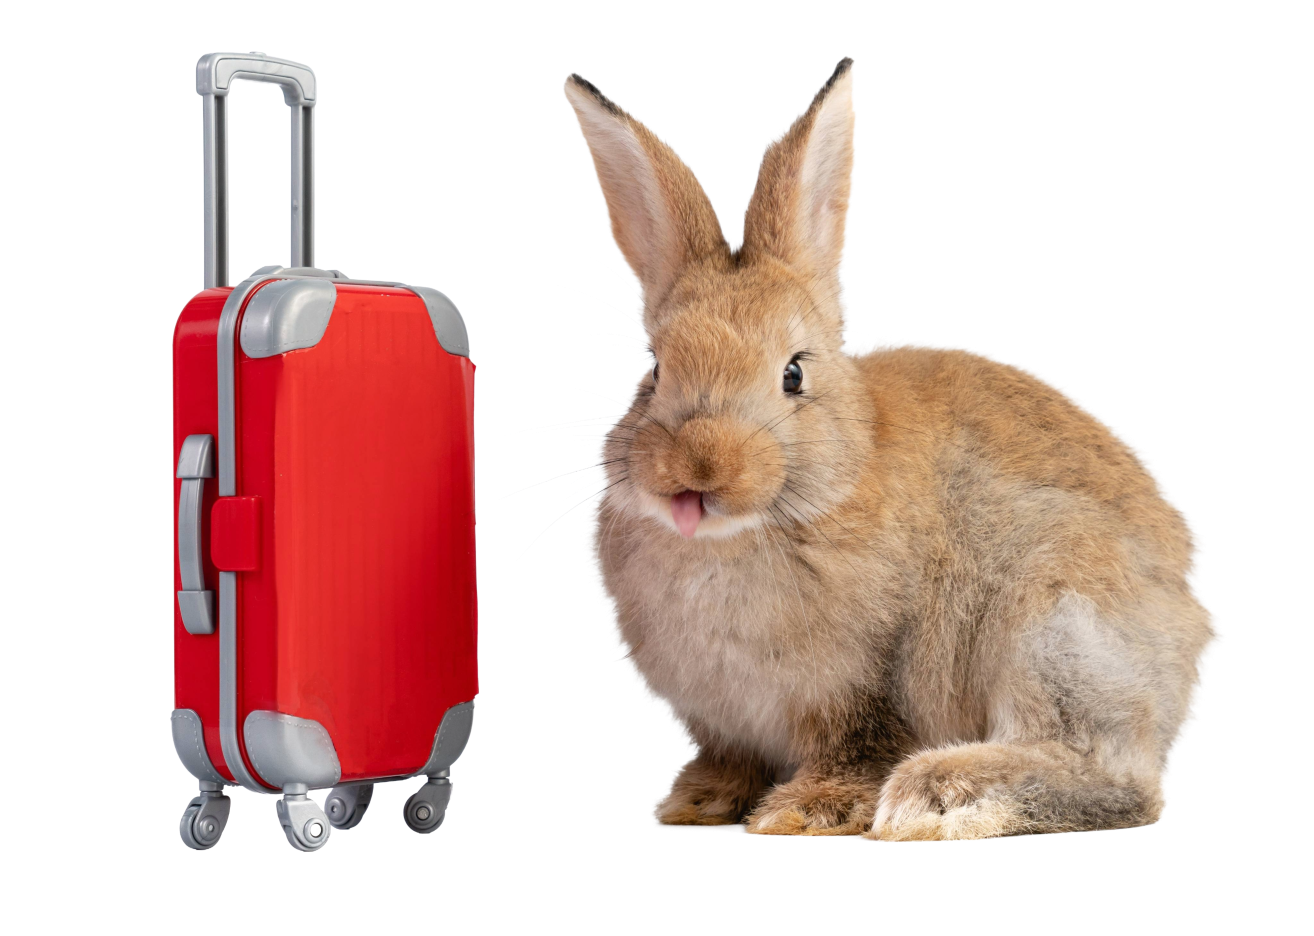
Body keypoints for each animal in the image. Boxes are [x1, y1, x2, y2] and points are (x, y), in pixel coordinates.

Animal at [563, 57, 1222, 840]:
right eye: (656, 369)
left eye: (793, 374)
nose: (698, 471)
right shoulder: (722, 720)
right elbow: (731, 757)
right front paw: (701, 800)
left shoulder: (865, 688)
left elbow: (855, 747)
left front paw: (805, 813)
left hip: (1056, 617)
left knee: (1112, 774)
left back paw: (941, 794)